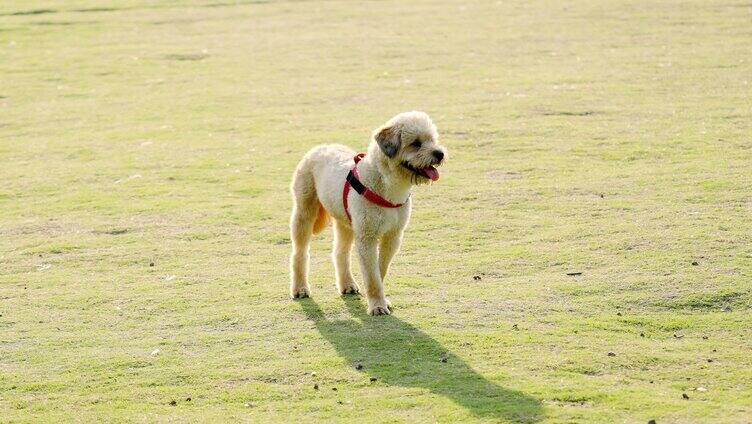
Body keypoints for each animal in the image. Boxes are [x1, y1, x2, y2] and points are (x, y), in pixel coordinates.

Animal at [290, 111, 446, 316]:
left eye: (432, 140)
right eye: (416, 143)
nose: (440, 154)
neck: (386, 184)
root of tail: (319, 148)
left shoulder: (392, 237)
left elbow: (380, 271)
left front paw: (380, 300)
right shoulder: (367, 238)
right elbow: (372, 276)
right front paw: (377, 306)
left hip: (345, 222)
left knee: (340, 253)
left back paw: (347, 284)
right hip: (304, 214)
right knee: (299, 254)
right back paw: (300, 288)